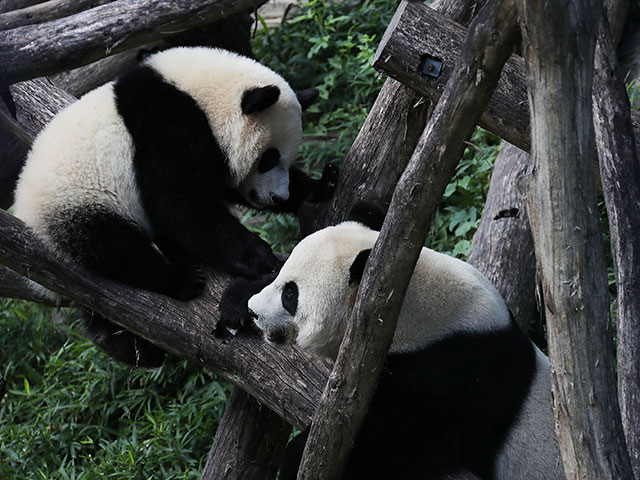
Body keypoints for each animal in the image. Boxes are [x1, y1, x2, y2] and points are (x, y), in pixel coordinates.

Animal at [12, 46, 338, 368]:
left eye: (285, 158)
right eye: (269, 158)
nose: (278, 197)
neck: (201, 95)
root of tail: (28, 218)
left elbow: (217, 190)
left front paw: (319, 186)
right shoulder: (166, 127)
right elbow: (180, 205)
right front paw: (258, 255)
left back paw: (133, 348)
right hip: (78, 205)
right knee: (114, 247)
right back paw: (180, 281)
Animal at [242, 206, 564, 480]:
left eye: (290, 294)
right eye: (282, 278)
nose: (253, 310)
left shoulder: (452, 374)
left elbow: (398, 440)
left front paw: (296, 456)